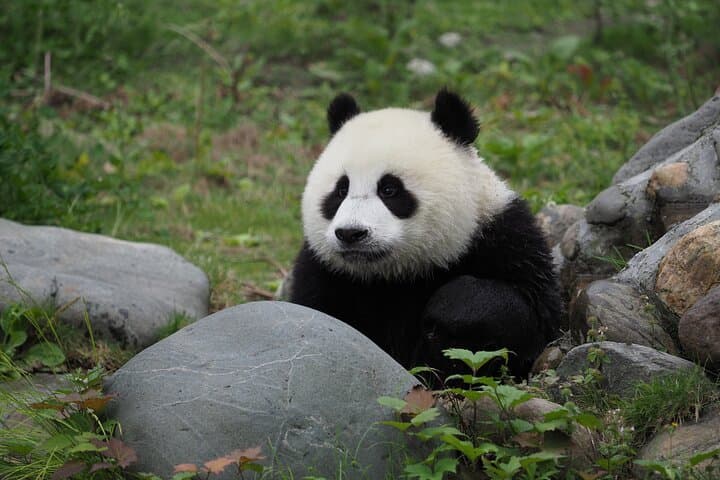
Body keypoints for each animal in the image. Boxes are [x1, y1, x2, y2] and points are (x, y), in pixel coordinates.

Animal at [290, 88, 561, 378]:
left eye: (389, 189)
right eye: (341, 190)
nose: (351, 233)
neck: (393, 276)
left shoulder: (503, 239)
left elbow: (528, 314)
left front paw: (449, 307)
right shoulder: (324, 272)